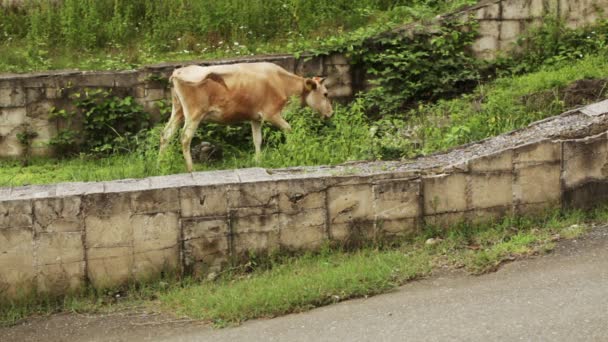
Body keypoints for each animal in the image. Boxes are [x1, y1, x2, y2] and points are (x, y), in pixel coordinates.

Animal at [158, 62, 332, 171]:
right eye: (325, 93)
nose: (331, 113)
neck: (281, 82)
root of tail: (178, 72)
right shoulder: (271, 114)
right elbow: (289, 130)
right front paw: (292, 151)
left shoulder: (256, 118)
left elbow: (257, 140)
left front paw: (258, 160)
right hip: (193, 114)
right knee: (185, 137)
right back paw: (190, 168)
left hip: (178, 111)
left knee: (166, 134)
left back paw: (162, 163)